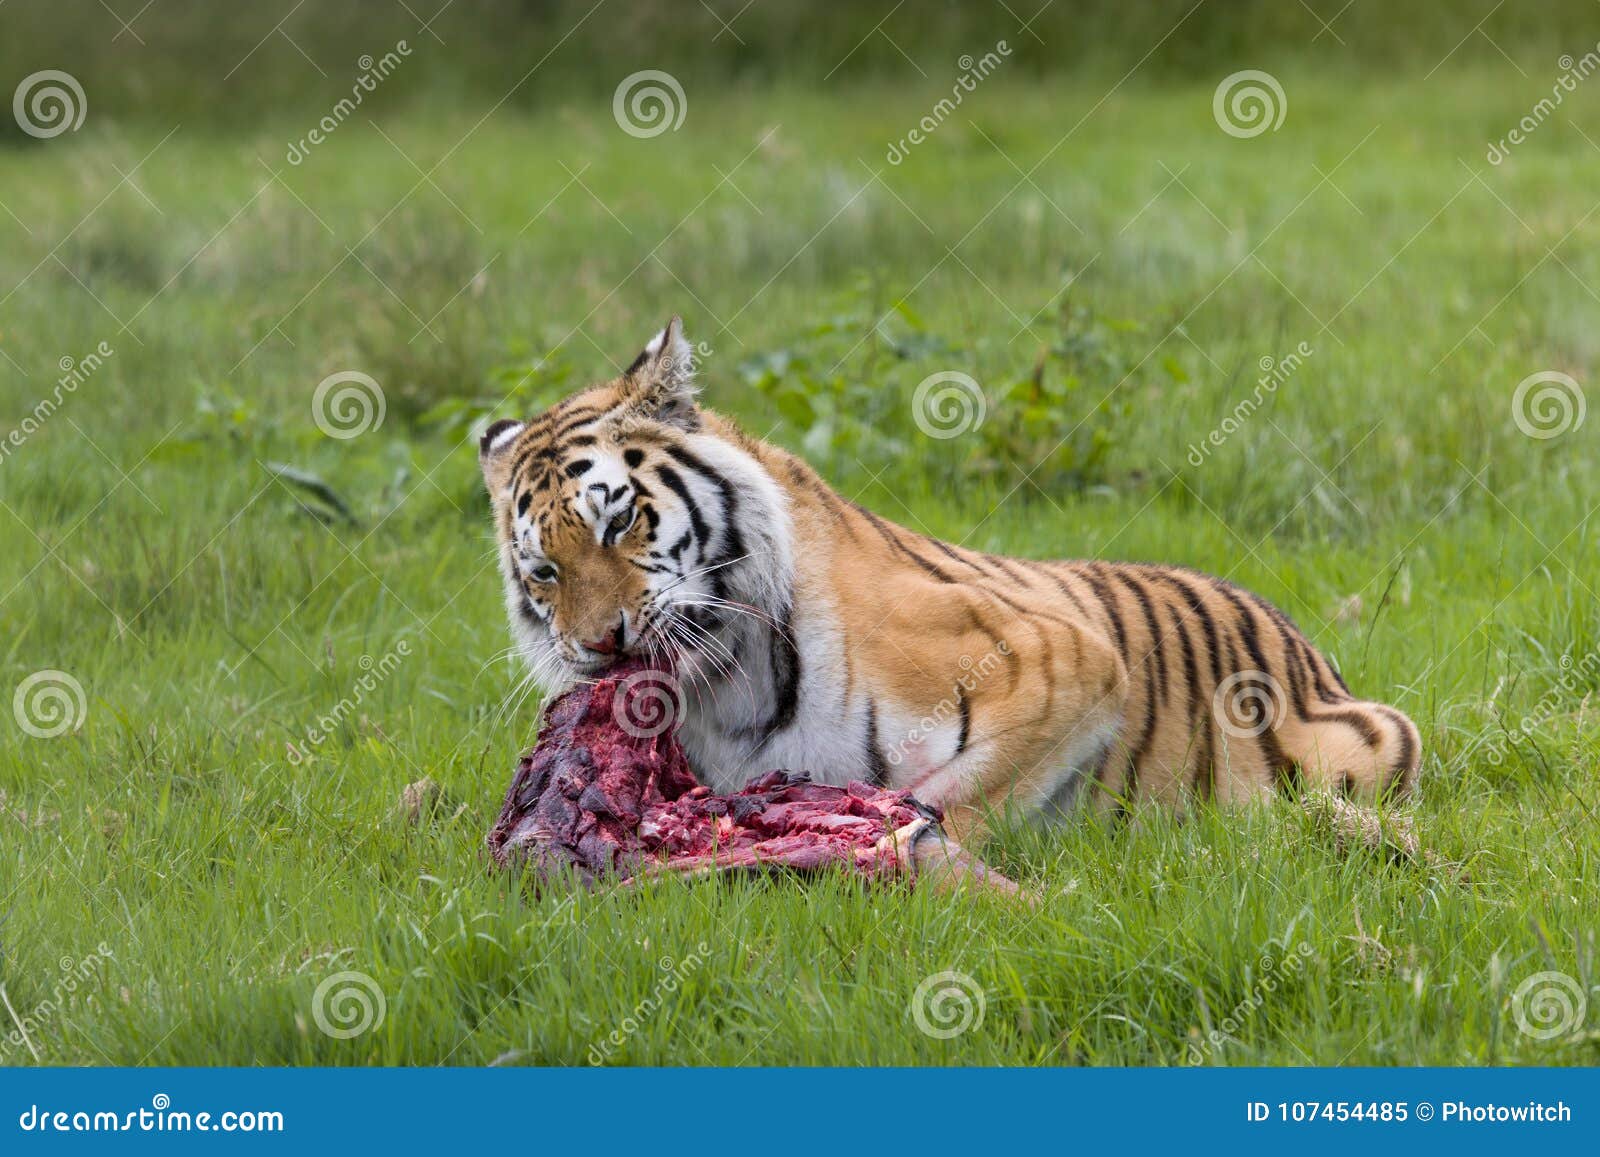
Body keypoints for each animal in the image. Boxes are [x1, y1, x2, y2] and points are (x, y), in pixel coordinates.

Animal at [476, 316, 1427, 844]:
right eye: (546, 571)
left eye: (619, 521)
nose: (601, 645)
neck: (727, 691)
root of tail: (1311, 648)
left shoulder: (1067, 661)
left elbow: (956, 795)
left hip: (1376, 743)